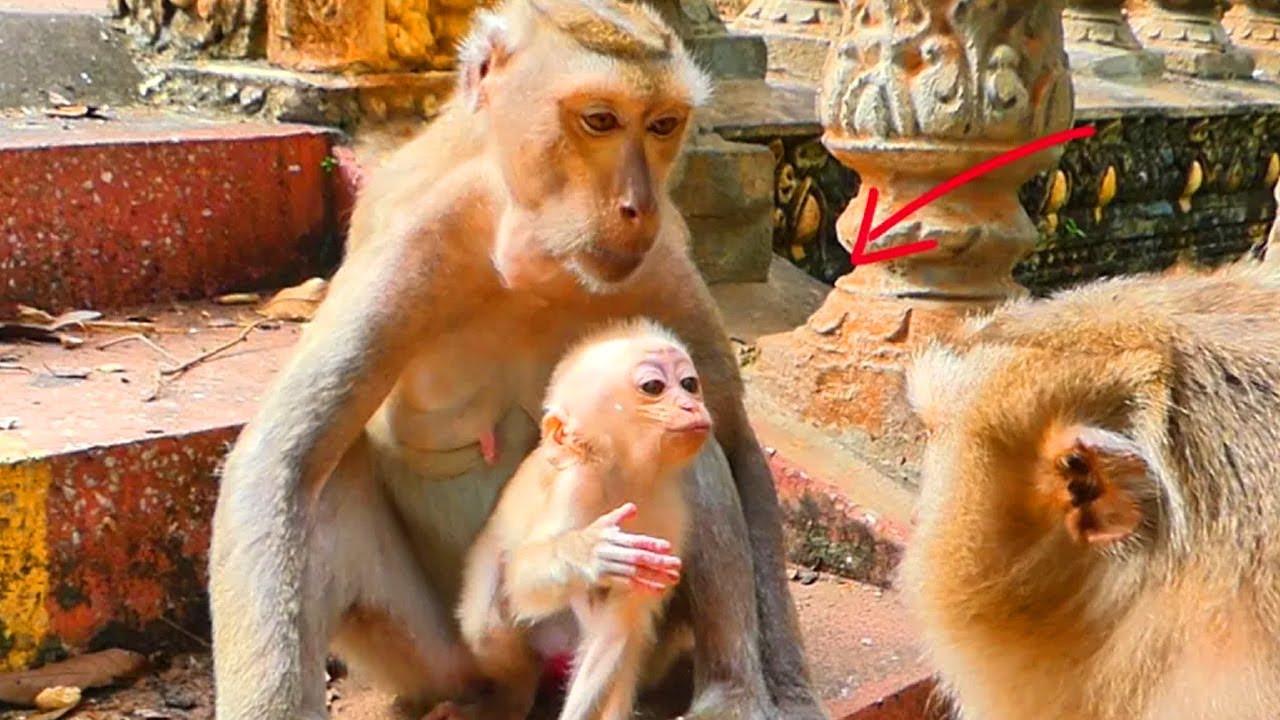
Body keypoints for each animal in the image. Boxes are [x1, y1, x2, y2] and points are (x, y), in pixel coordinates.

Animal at [437, 318, 709, 720]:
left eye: (689, 384)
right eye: (653, 387)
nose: (691, 405)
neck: (620, 476)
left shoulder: (670, 514)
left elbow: (615, 633)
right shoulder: (574, 487)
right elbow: (522, 579)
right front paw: (589, 552)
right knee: (485, 621)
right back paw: (514, 696)